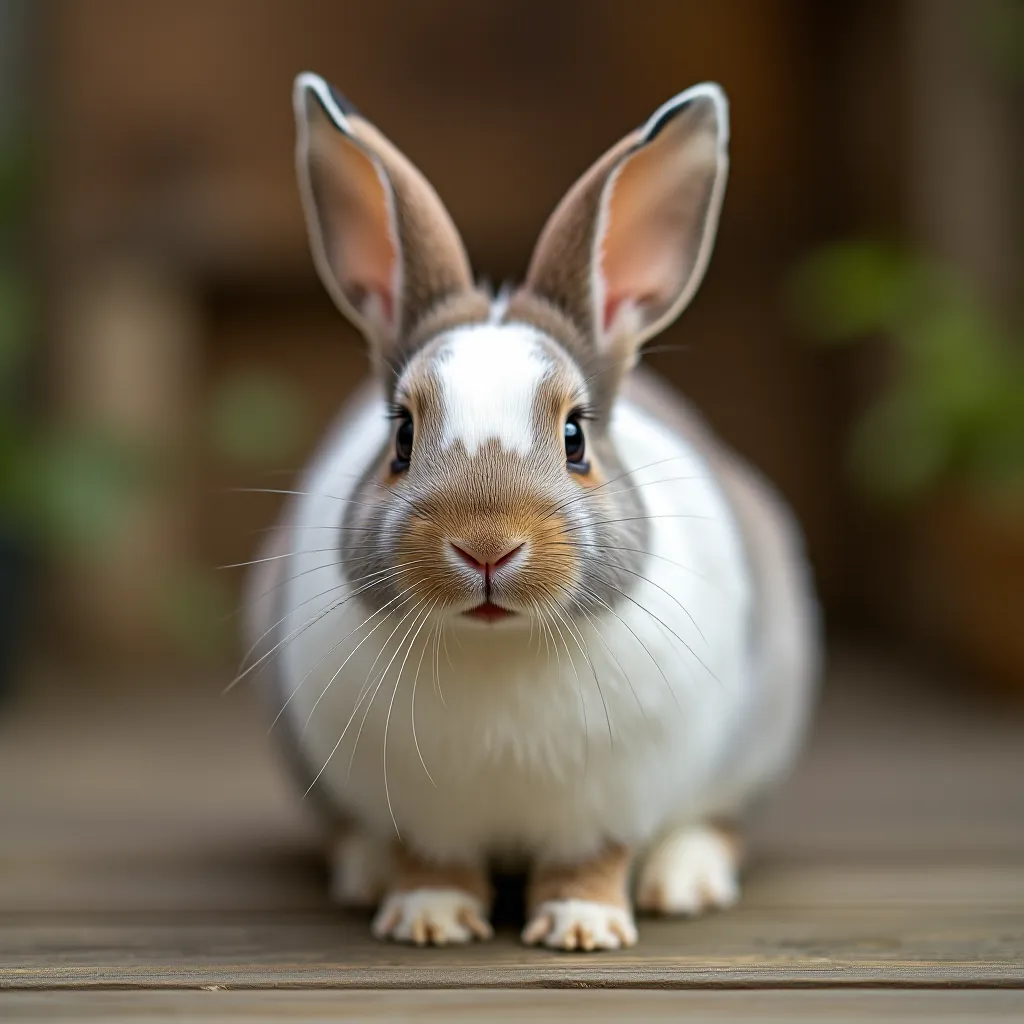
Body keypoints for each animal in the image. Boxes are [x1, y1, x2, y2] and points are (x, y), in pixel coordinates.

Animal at [242, 71, 820, 952]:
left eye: (577, 435)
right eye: (401, 435)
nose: (486, 547)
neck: (498, 646)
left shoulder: (610, 800)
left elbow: (592, 859)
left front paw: (583, 928)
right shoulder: (427, 813)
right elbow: (432, 860)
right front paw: (429, 919)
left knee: (722, 822)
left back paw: (684, 880)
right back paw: (364, 870)